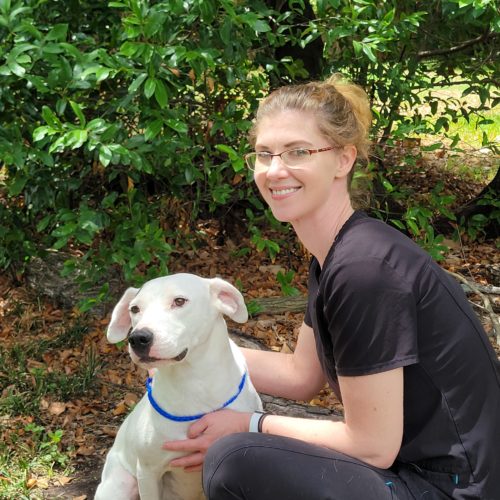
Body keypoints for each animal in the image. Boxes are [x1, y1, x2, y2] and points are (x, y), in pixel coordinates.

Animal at [95, 274, 264, 500]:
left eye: (179, 301)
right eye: (135, 309)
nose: (138, 338)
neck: (192, 383)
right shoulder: (147, 473)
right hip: (120, 484)